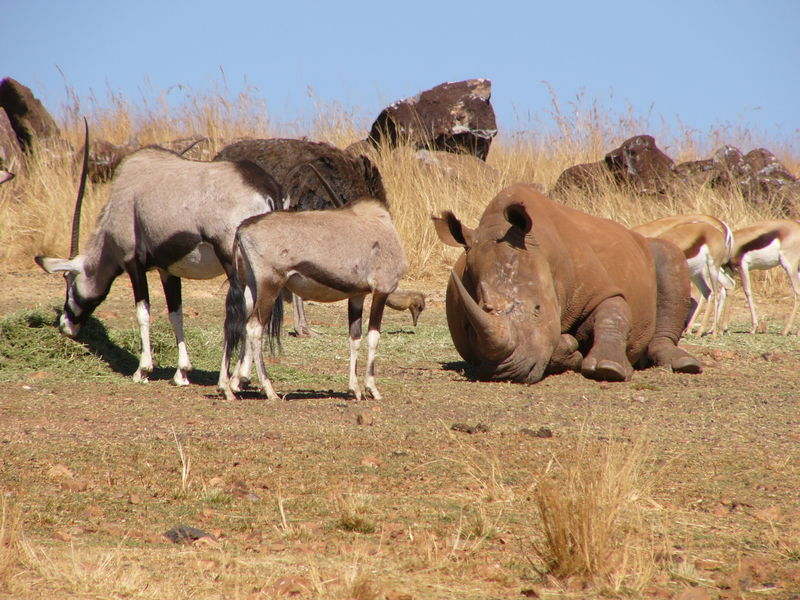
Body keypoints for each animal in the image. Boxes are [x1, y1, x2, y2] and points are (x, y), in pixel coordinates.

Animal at [38, 134, 288, 386]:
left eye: (69, 281)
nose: (66, 326)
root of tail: (266, 187)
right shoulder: (168, 270)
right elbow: (175, 314)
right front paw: (182, 373)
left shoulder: (133, 262)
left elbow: (143, 312)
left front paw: (142, 370)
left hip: (233, 261)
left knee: (247, 306)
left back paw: (238, 377)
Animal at [217, 200, 406, 404]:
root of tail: (243, 228)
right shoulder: (381, 291)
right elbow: (374, 336)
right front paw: (372, 389)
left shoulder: (357, 295)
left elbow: (354, 338)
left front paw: (355, 389)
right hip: (270, 285)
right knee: (254, 327)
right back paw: (270, 391)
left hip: (250, 288)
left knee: (233, 324)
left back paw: (226, 388)